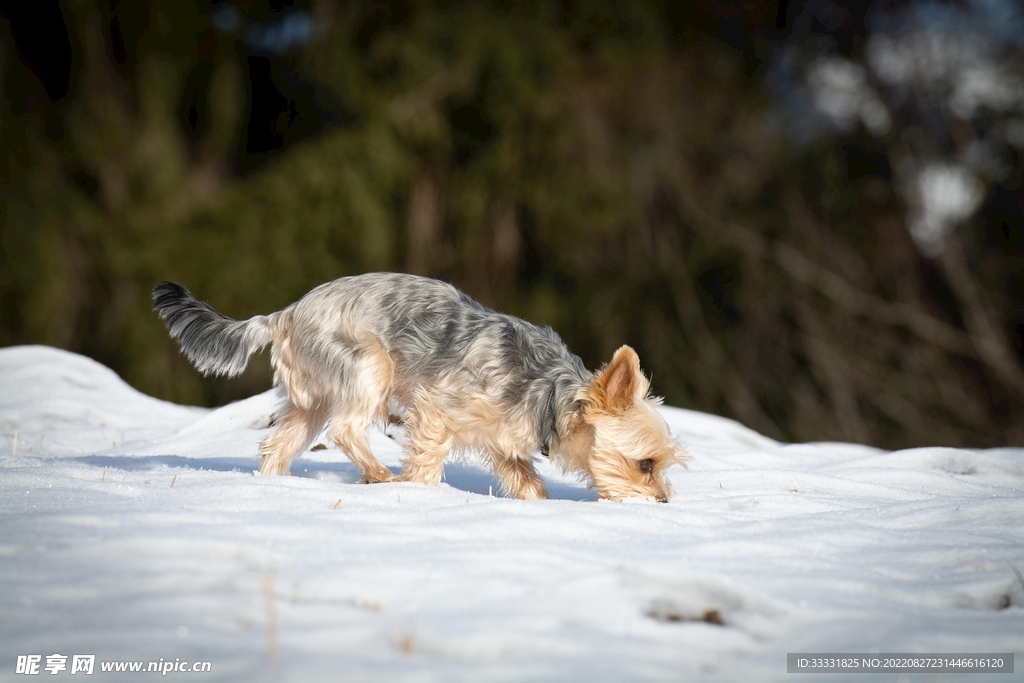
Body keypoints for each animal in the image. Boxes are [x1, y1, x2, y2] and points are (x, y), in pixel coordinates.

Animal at [151, 272, 688, 501]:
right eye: (645, 464)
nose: (663, 503)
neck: (550, 394)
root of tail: (284, 314)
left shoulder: (506, 444)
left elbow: (528, 483)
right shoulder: (437, 410)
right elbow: (428, 459)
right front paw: (422, 494)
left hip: (310, 397)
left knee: (279, 443)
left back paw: (273, 485)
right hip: (369, 365)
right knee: (346, 428)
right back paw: (381, 477)